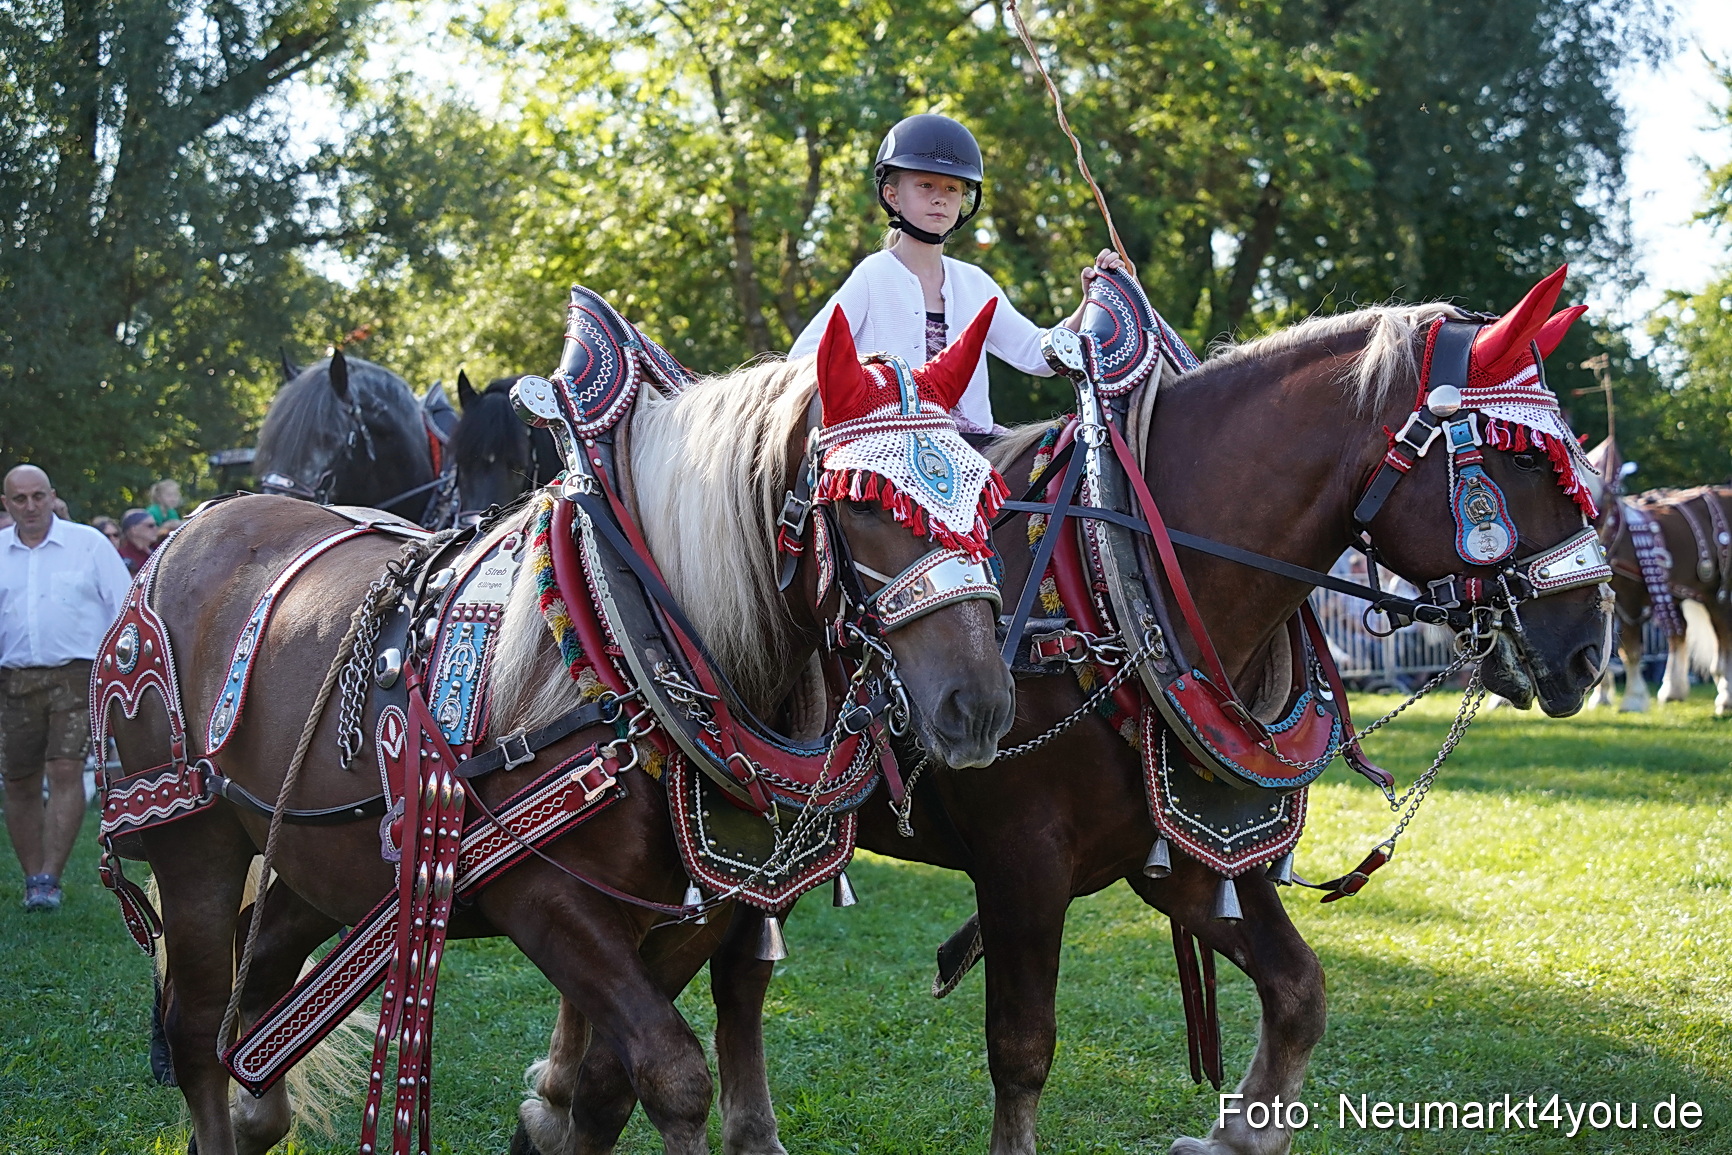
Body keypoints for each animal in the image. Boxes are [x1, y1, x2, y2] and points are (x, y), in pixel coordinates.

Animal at [517, 276, 1611, 1155]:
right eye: (1524, 463)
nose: (1588, 650)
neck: (1120, 591)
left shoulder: (1175, 853)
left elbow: (1299, 992)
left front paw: (1234, 1134)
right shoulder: (1022, 861)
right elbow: (1023, 1049)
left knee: (721, 975)